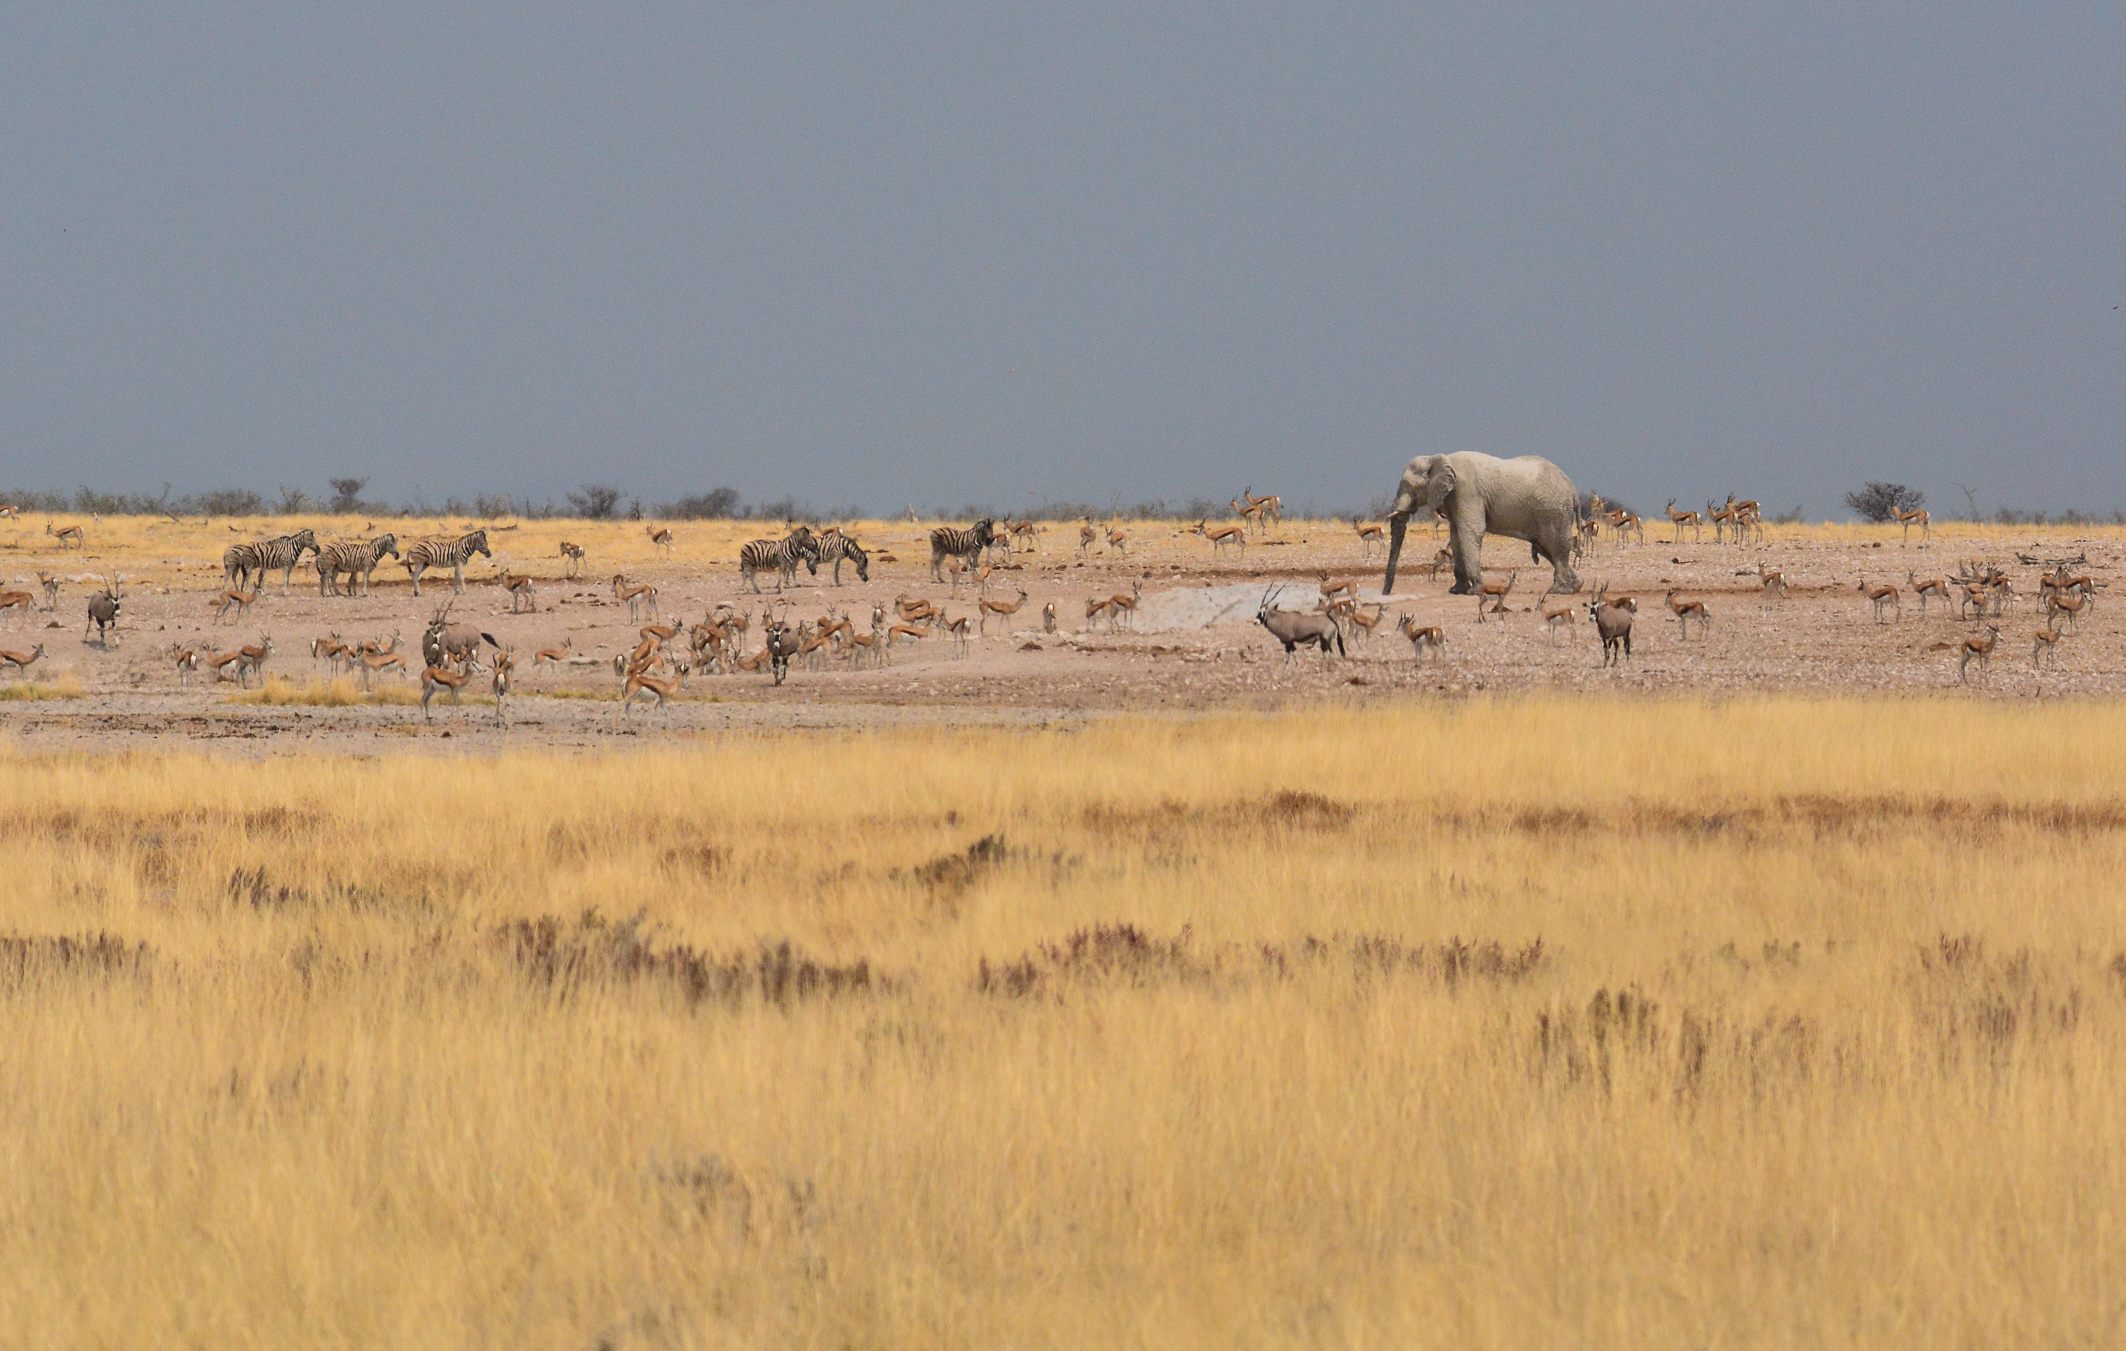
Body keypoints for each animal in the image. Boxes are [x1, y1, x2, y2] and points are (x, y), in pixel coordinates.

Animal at [1377, 451, 1581, 595]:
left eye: (1409, 487)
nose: (1384, 594)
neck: (1438, 458)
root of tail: (1573, 489)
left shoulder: (1467, 491)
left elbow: (1470, 532)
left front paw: (1475, 591)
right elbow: (1456, 535)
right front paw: (1456, 591)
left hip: (1554, 512)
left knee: (1555, 547)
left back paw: (1560, 590)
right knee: (1547, 549)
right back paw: (1577, 585)